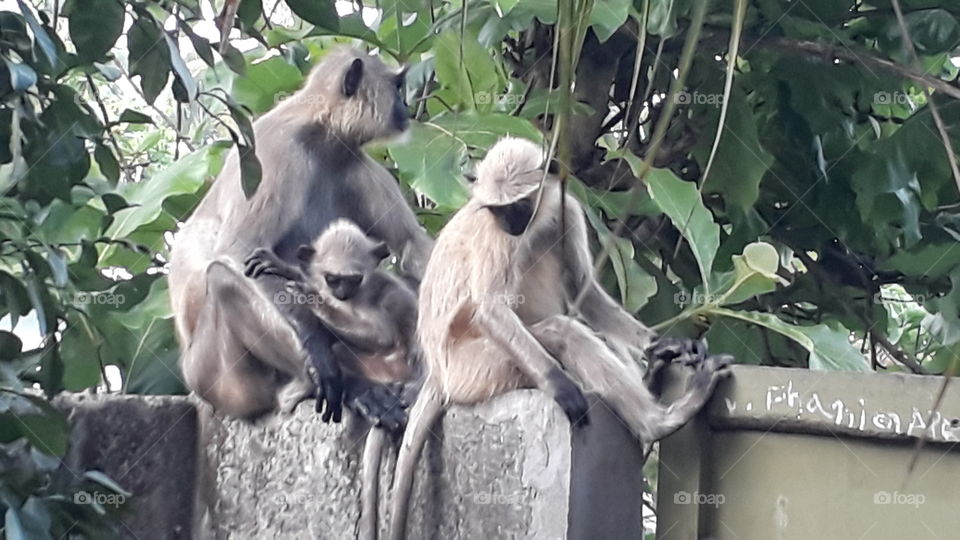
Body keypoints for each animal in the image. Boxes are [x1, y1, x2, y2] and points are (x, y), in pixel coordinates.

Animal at [168, 47, 433, 423]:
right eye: (396, 87)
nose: (405, 106)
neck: (319, 132)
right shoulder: (274, 152)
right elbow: (238, 249)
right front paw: (317, 348)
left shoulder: (354, 161)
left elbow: (410, 246)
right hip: (220, 380)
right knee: (223, 278)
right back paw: (350, 386)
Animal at [245, 219, 421, 540]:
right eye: (332, 279)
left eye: (352, 279)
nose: (339, 294)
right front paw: (289, 271)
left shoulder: (385, 292)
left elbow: (382, 334)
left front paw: (309, 295)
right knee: (336, 349)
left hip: (395, 366)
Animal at [387, 137, 730, 539]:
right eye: (499, 211)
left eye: (518, 207)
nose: (511, 224)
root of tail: (439, 374)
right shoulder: (495, 233)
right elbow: (490, 309)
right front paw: (559, 385)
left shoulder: (566, 207)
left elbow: (583, 286)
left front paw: (660, 344)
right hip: (474, 369)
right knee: (559, 331)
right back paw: (659, 421)